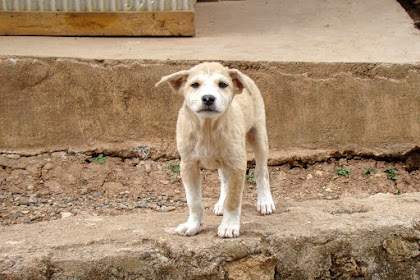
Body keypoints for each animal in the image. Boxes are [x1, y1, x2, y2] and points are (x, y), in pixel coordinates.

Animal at [156, 62, 274, 237]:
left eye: (223, 84)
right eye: (194, 84)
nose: (208, 98)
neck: (207, 128)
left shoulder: (237, 164)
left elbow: (233, 200)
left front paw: (229, 226)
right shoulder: (188, 165)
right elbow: (194, 200)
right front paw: (193, 224)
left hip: (258, 135)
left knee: (261, 171)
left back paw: (265, 201)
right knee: (224, 180)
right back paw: (221, 203)